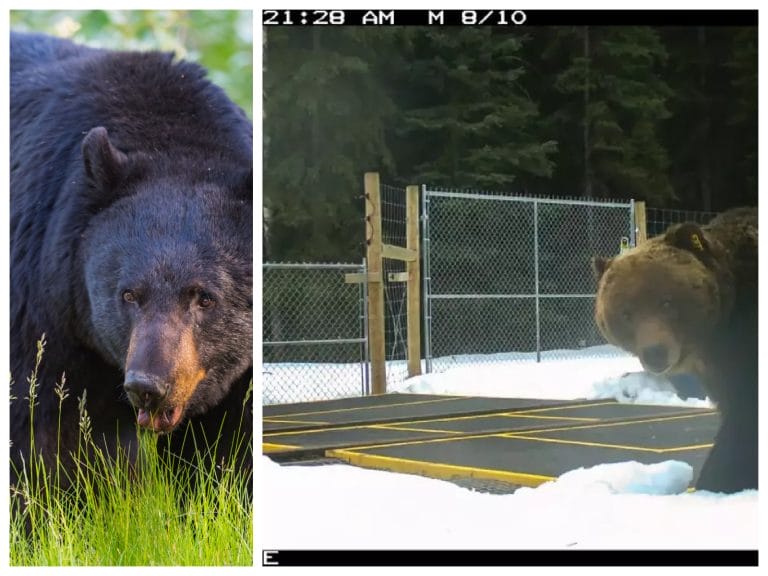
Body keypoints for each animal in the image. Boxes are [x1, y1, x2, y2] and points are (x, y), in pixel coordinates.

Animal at [9, 31, 254, 490]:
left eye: (205, 297)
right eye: (128, 294)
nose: (148, 385)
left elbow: (232, 444)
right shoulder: (45, 307)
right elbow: (49, 433)